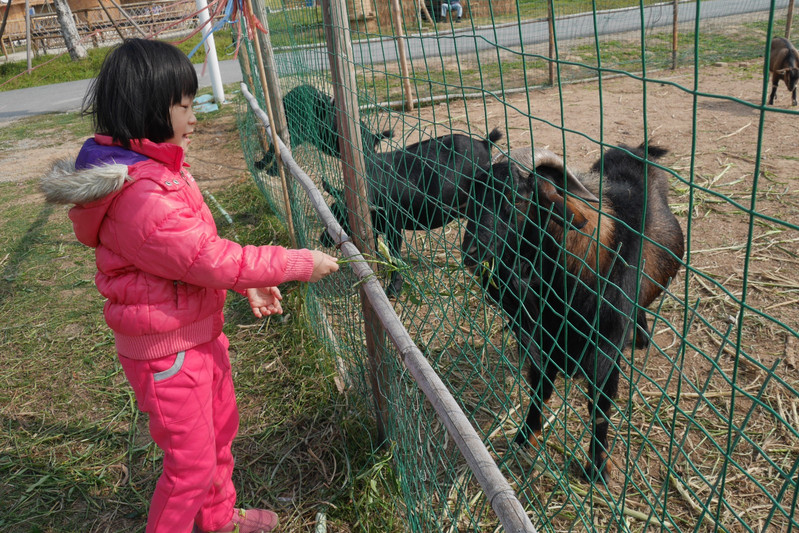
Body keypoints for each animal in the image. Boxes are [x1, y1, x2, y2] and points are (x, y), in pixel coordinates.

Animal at [322, 128, 504, 296]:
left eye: (346, 217)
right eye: (333, 208)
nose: (323, 239)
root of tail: (484, 142)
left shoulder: (394, 224)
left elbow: (394, 256)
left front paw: (394, 289)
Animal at [462, 143, 688, 480]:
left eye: (518, 197)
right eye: (475, 193)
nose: (470, 253)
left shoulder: (606, 349)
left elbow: (600, 407)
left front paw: (597, 467)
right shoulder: (546, 338)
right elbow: (540, 387)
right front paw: (525, 437)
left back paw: (642, 336)